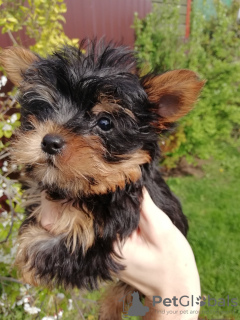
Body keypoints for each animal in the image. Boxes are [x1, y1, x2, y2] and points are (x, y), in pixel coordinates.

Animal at [0, 40, 203, 320]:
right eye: (44, 110)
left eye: (105, 122)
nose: (49, 141)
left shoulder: (100, 234)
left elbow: (42, 246)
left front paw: (26, 270)